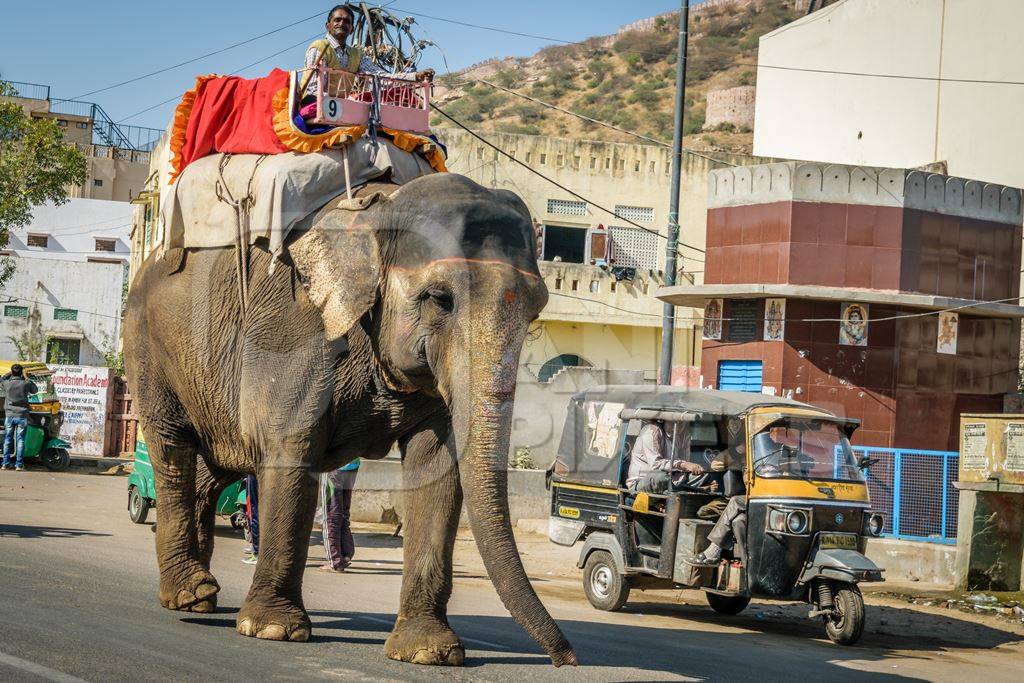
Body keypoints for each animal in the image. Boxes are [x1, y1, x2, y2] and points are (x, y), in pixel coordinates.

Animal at [121, 172, 577, 667]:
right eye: (440, 299)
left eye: (536, 310)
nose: (566, 658)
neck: (382, 211)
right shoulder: (293, 328)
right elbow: (290, 447)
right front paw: (273, 630)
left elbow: (436, 466)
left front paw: (428, 652)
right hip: (147, 346)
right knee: (173, 449)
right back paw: (189, 595)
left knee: (215, 467)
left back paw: (202, 595)